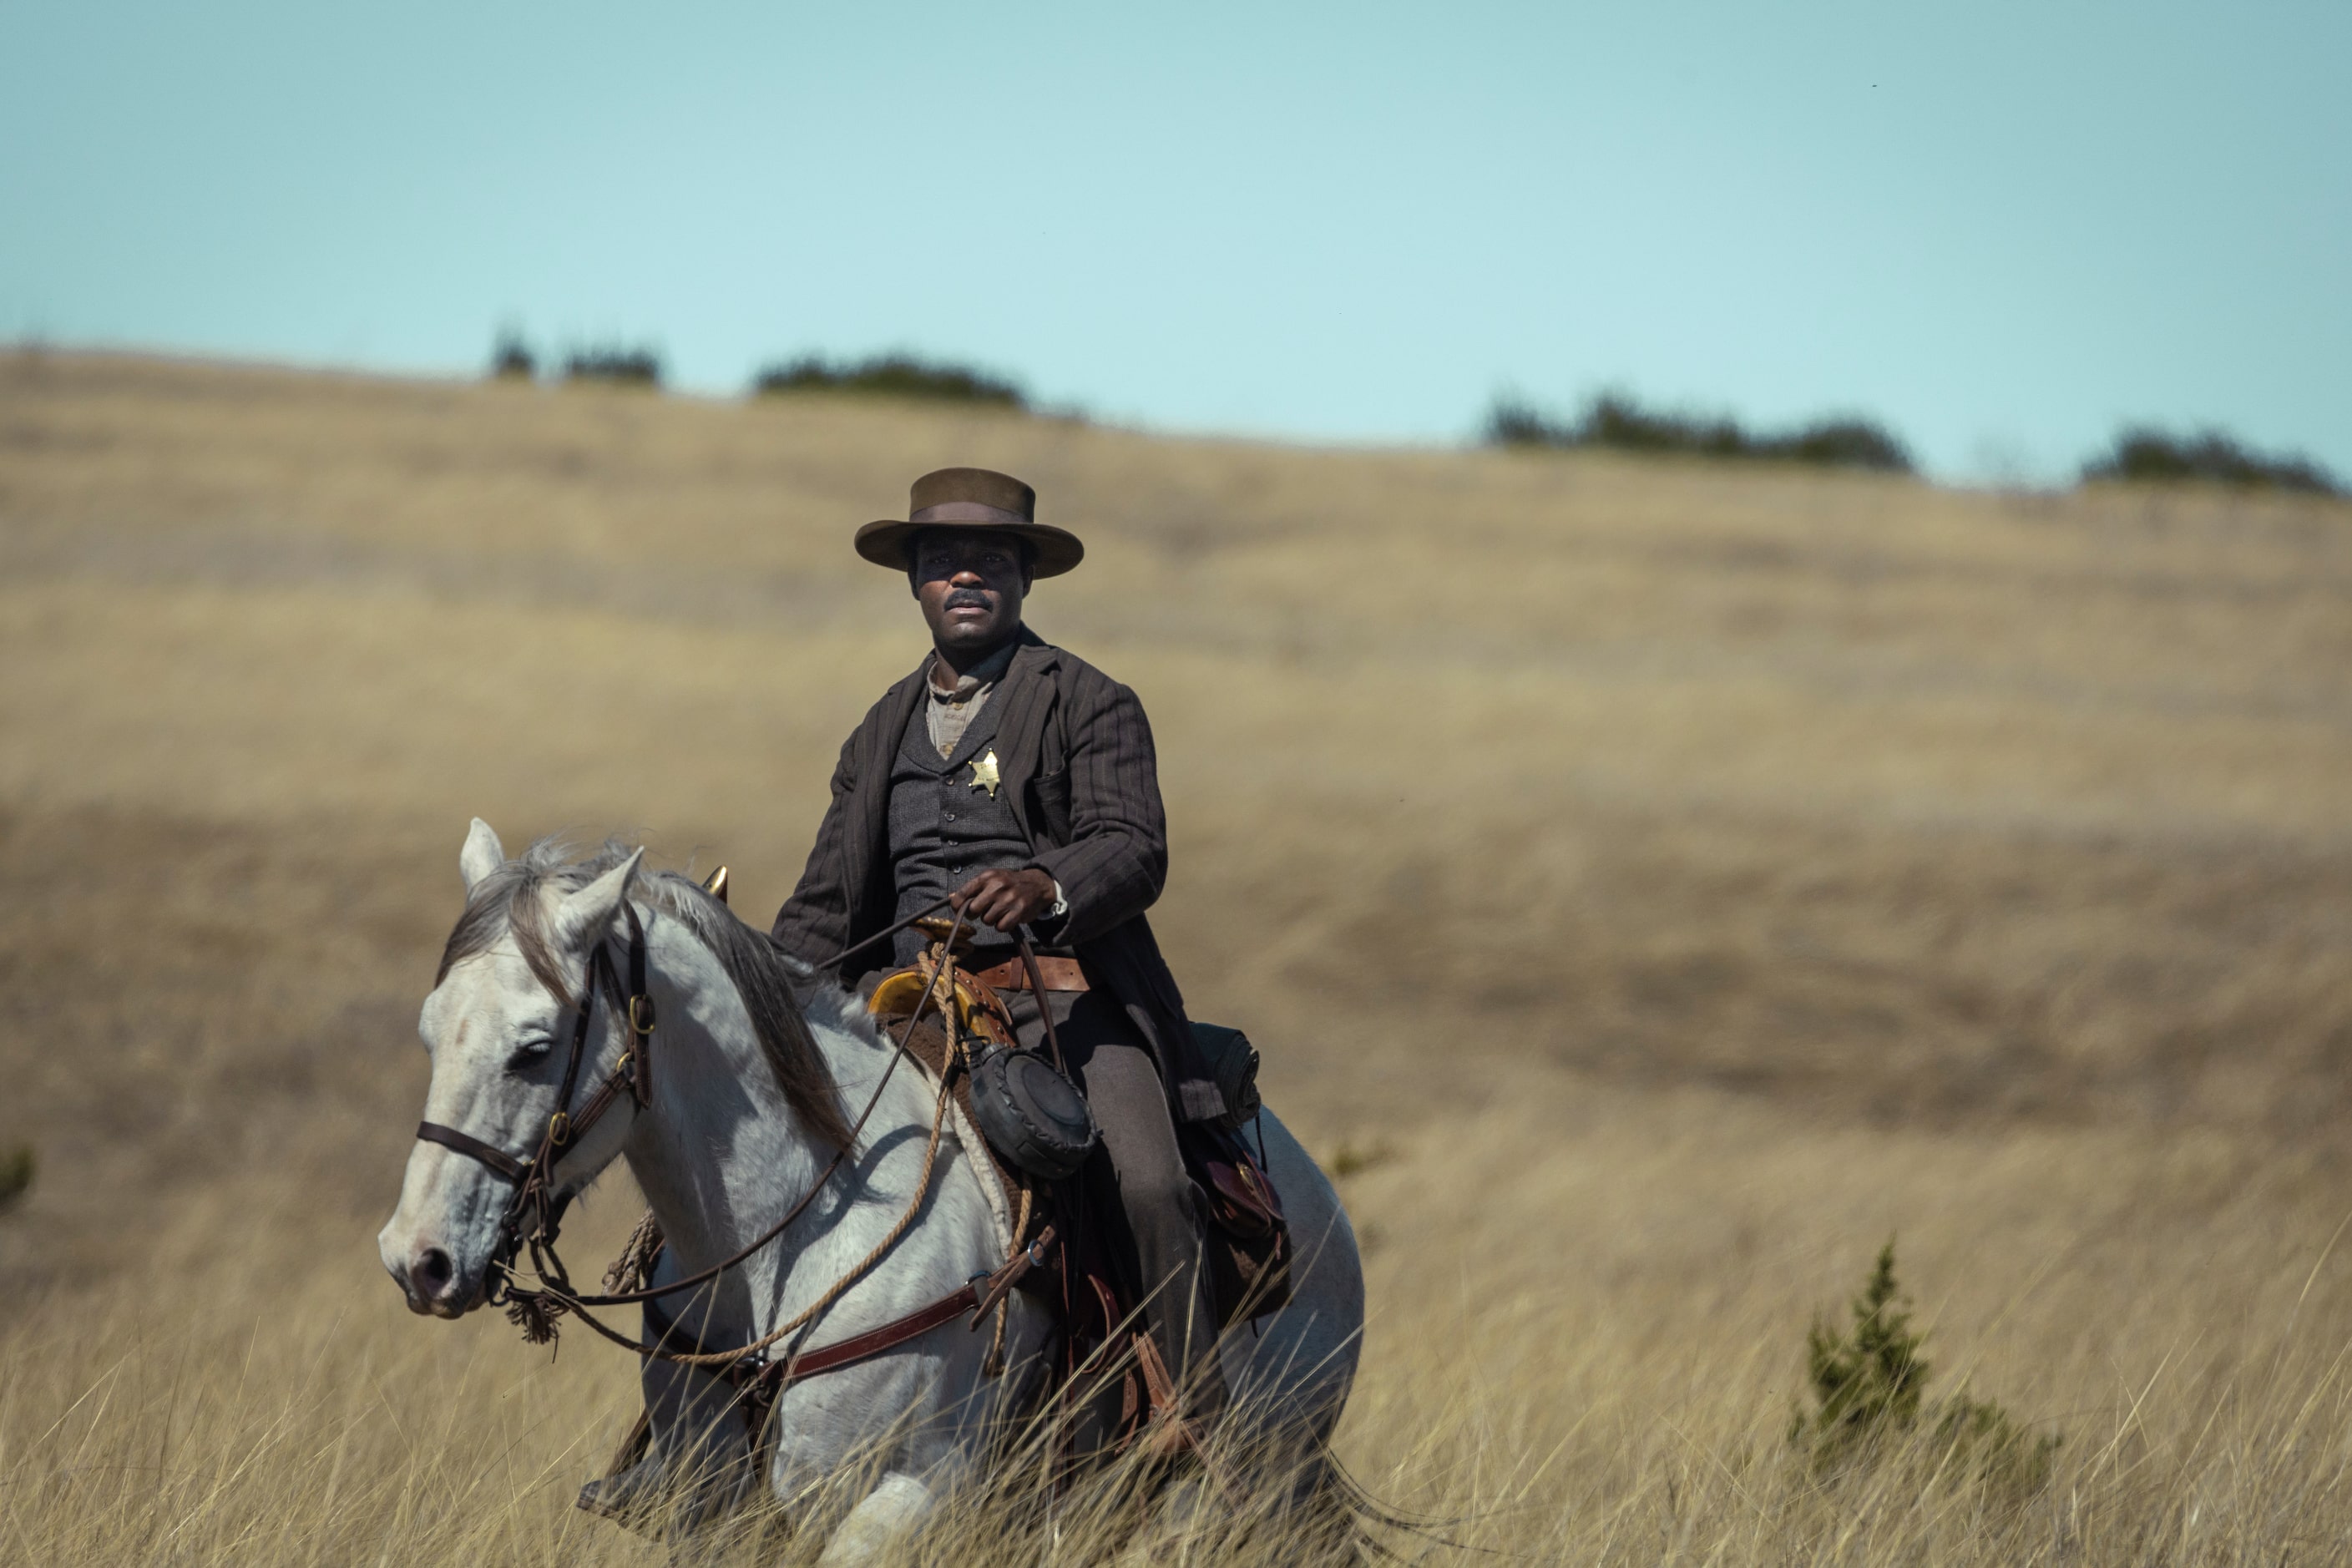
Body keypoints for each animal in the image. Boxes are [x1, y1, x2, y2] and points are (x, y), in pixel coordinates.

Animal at [367, 827, 1363, 1560]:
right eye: (427, 1031)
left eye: (534, 1047)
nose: (419, 1258)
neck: (792, 1236)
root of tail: (1319, 1206)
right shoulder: (713, 1513)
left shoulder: (904, 1497)